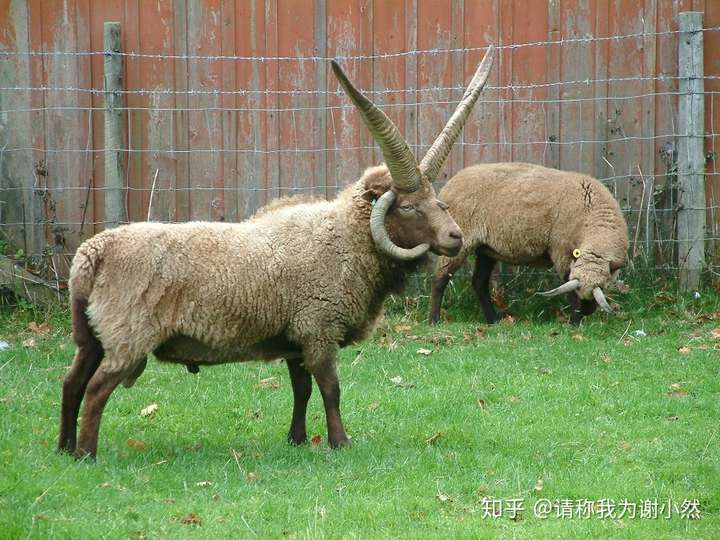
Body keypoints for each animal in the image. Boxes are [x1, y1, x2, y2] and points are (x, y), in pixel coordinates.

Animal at [59, 47, 496, 460]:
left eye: (435, 197)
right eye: (407, 206)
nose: (455, 237)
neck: (343, 241)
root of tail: (91, 254)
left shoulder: (295, 338)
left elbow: (301, 390)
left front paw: (297, 439)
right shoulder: (318, 329)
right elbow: (331, 389)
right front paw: (340, 443)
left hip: (91, 336)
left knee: (71, 382)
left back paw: (64, 449)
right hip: (126, 336)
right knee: (96, 390)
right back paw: (87, 454)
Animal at [430, 162, 628, 324]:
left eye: (603, 286)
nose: (587, 312)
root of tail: (450, 183)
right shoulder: (562, 254)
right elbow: (571, 293)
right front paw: (575, 324)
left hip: (486, 249)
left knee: (479, 282)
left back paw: (493, 320)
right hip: (458, 240)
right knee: (440, 278)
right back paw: (434, 320)